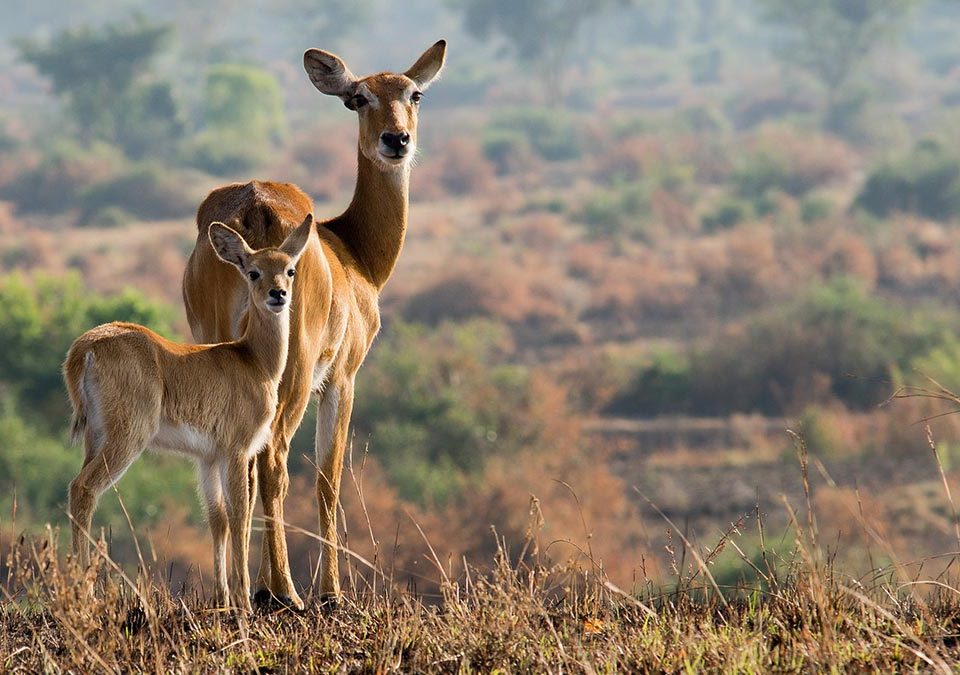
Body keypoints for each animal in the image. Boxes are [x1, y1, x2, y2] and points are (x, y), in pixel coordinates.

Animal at [62, 215, 316, 612]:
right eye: (253, 271)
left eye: (289, 269)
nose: (278, 295)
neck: (254, 361)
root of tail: (83, 349)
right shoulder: (236, 451)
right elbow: (241, 514)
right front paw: (244, 602)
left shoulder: (207, 458)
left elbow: (218, 518)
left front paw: (222, 599)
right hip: (126, 437)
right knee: (83, 488)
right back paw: (84, 595)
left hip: (96, 436)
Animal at [183, 42, 446, 612]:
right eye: (358, 97)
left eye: (414, 94)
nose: (397, 139)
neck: (355, 253)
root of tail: (255, 206)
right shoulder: (342, 379)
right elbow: (329, 477)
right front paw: (331, 592)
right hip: (297, 371)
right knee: (275, 462)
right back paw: (287, 592)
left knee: (239, 466)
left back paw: (241, 592)